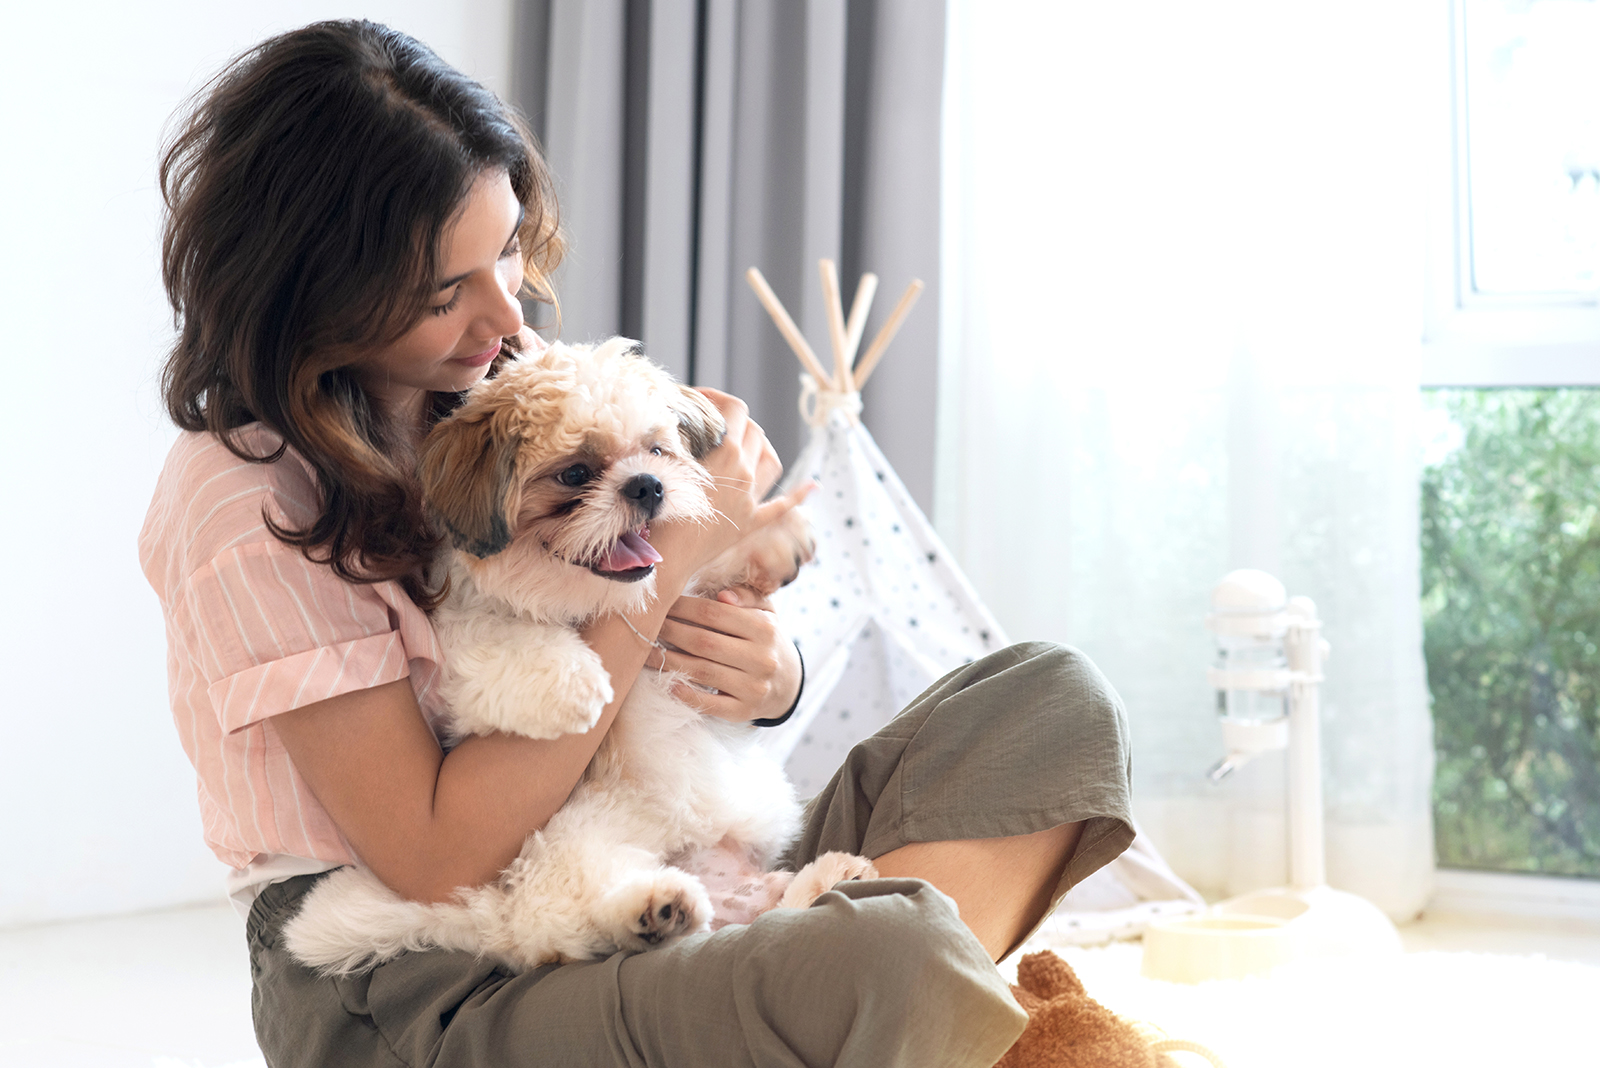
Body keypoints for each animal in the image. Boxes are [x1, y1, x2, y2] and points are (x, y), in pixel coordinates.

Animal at [278, 335, 876, 978]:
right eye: (575, 474)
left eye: (656, 450)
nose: (647, 485)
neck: (584, 599)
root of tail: (483, 918)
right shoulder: (465, 635)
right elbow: (512, 643)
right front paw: (582, 685)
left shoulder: (689, 584)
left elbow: (714, 557)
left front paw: (778, 535)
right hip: (568, 851)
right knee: (571, 914)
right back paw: (655, 911)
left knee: (764, 903)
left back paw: (821, 879)